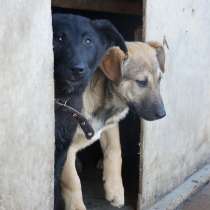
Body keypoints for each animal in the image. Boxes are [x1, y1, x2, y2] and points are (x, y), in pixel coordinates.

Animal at [60, 41, 166, 210]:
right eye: (141, 82)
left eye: (160, 79)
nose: (163, 114)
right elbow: (72, 182)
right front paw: (76, 206)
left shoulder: (109, 127)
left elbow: (115, 153)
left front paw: (115, 190)